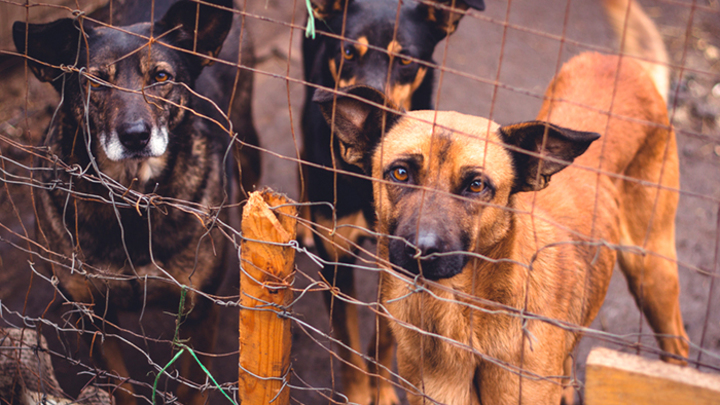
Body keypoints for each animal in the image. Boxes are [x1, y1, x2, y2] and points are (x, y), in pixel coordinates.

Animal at [12, 1, 258, 402]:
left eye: (160, 76)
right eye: (95, 81)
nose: (135, 136)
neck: (131, 202)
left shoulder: (197, 314)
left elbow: (191, 389)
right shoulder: (91, 315)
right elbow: (121, 387)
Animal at [298, 0, 484, 400]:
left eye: (405, 61)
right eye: (348, 52)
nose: (369, 119)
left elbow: (384, 339)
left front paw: (381, 392)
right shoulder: (336, 259)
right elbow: (348, 348)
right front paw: (358, 397)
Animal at [318, 7, 688, 405]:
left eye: (476, 185)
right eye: (400, 173)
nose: (421, 249)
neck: (459, 315)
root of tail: (619, 62)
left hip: (653, 270)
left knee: (677, 348)